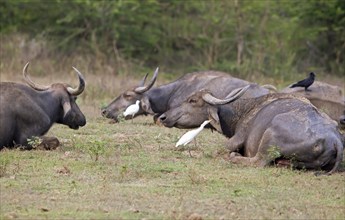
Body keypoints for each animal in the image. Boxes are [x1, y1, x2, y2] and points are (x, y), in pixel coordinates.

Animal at [160, 86, 342, 174]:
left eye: (192, 100)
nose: (163, 117)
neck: (244, 111)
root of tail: (334, 139)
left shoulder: (237, 138)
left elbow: (213, 151)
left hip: (269, 136)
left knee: (258, 162)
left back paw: (234, 157)